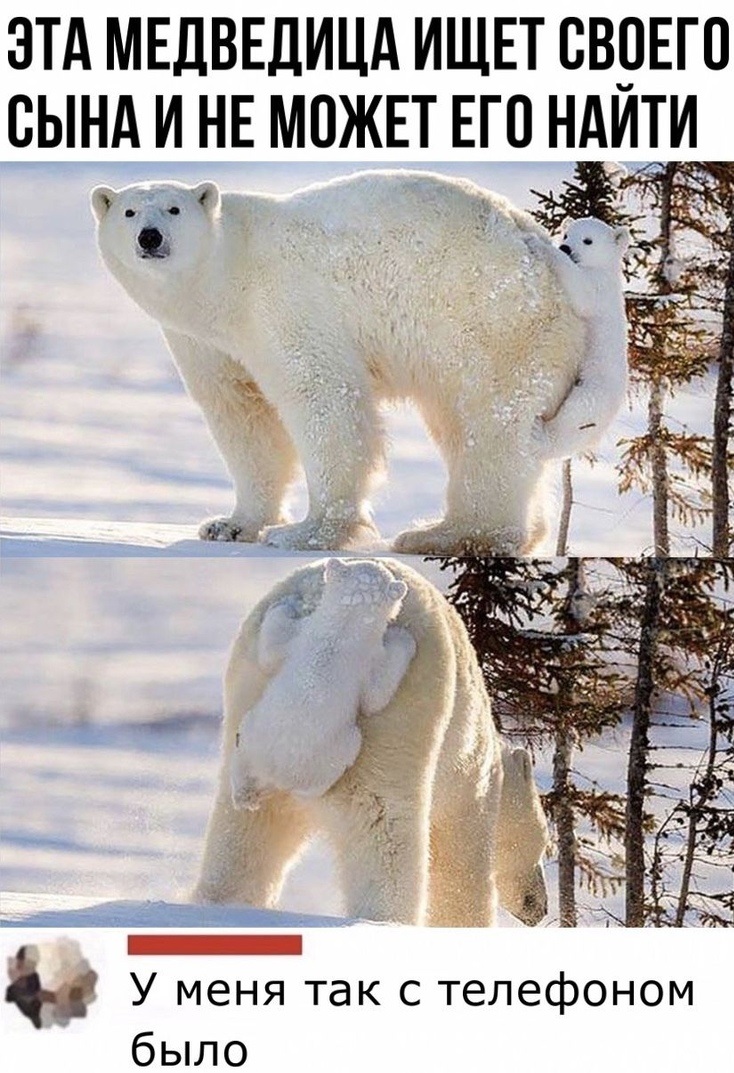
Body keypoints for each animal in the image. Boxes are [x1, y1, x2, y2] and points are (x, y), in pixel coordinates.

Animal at [91, 171, 583, 557]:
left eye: (173, 208)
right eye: (129, 212)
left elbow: (321, 396)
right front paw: (230, 525)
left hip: (491, 323)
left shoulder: (283, 302)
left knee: (488, 424)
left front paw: (306, 532)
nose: (150, 237)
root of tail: (543, 249)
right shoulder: (205, 342)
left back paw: (448, 534)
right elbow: (243, 417)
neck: (224, 278)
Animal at [230, 557, 412, 806]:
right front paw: (404, 638)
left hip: (256, 738)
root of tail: (275, 773)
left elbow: (271, 651)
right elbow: (374, 698)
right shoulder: (361, 657)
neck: (341, 631)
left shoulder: (302, 637)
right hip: (326, 750)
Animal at [523, 217, 626, 461]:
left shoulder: (598, 288)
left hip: (595, 388)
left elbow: (580, 289)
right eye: (567, 234)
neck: (606, 270)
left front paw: (537, 242)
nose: (565, 248)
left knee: (576, 414)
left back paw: (539, 435)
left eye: (588, 240)